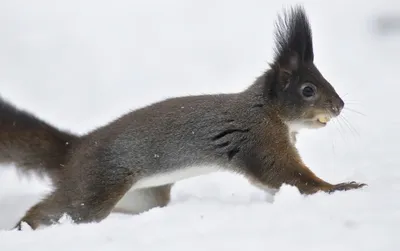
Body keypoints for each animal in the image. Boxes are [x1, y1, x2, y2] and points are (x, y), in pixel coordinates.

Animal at [0, 5, 366, 231]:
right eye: (308, 90)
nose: (339, 106)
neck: (266, 111)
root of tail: (73, 150)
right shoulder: (258, 140)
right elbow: (287, 175)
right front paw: (340, 187)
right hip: (95, 187)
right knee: (56, 211)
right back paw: (24, 230)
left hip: (143, 196)